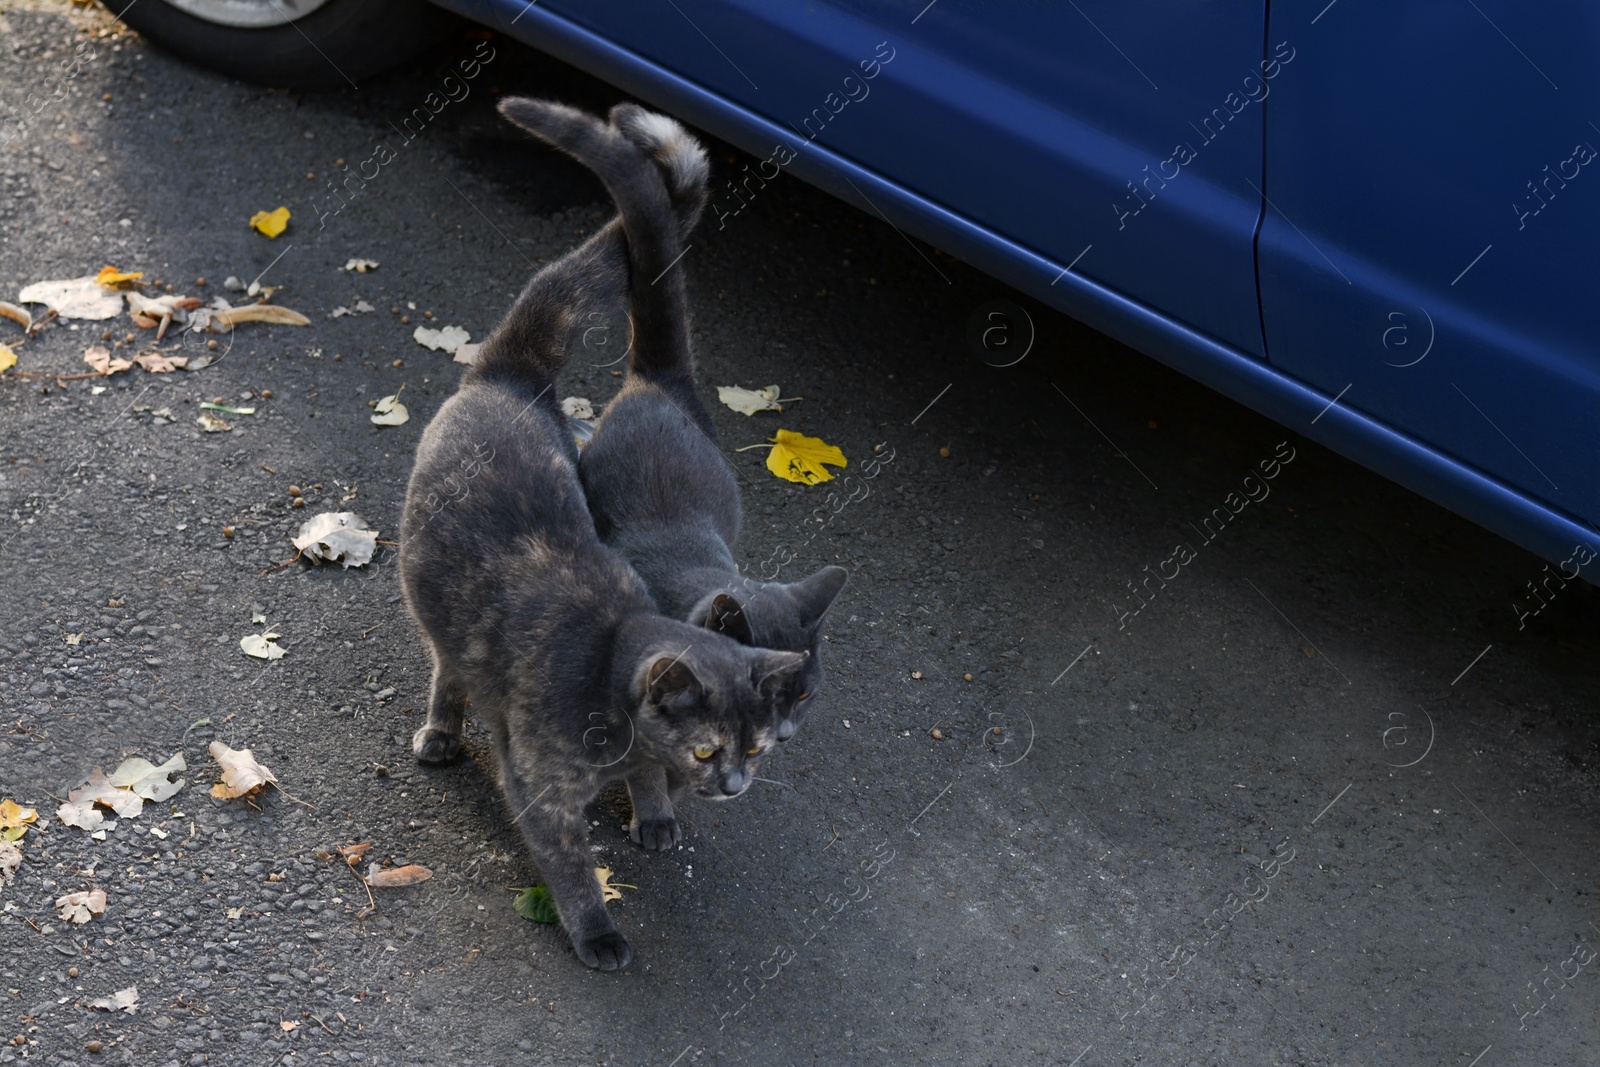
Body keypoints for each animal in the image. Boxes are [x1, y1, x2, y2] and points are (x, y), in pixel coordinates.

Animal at [395, 95, 806, 972]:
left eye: (756, 749)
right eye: (708, 749)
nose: (734, 786)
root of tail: (513, 370)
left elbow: (645, 789)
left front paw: (654, 815)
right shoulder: (543, 788)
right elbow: (571, 865)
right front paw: (598, 931)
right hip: (432, 598)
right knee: (446, 665)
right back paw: (441, 732)